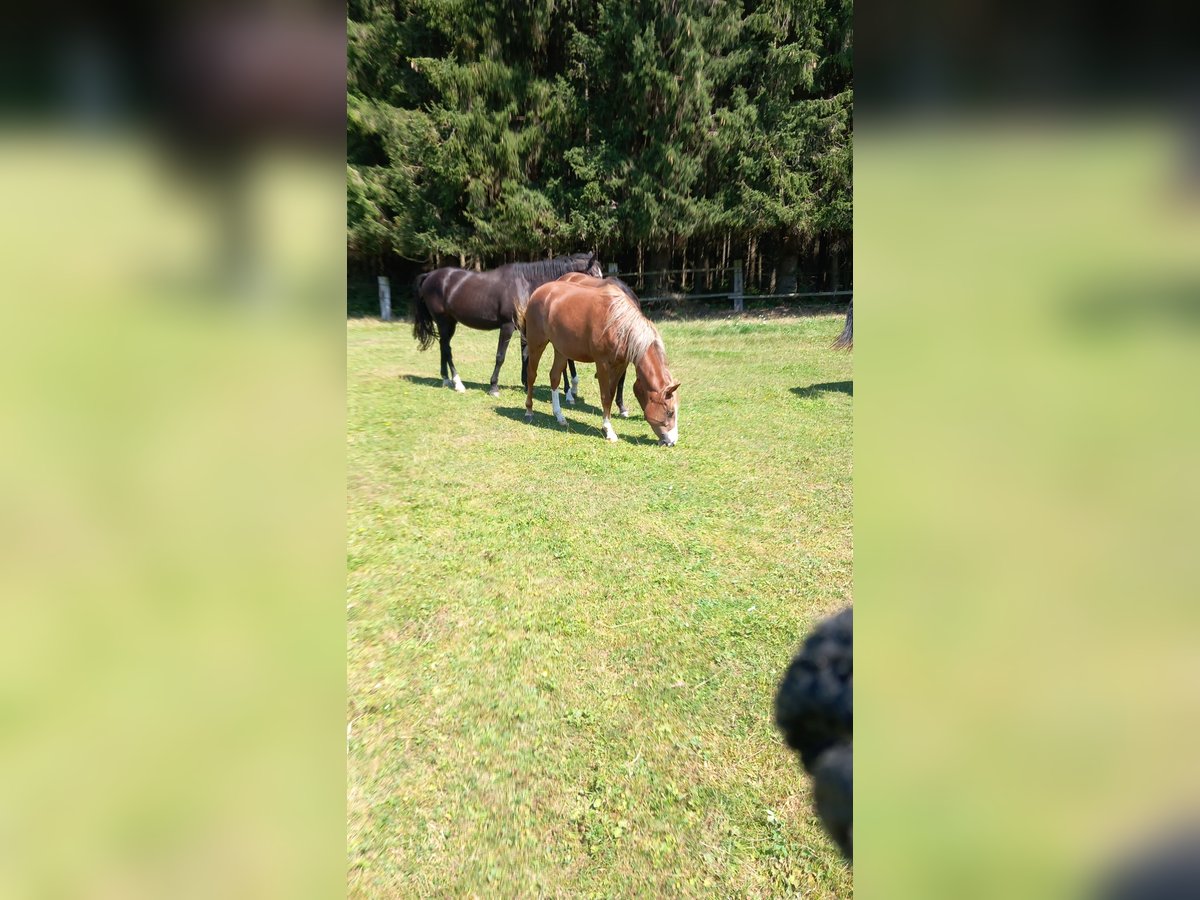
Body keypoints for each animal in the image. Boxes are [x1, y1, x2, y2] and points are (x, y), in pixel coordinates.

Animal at [412, 252, 604, 396]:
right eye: (594, 275)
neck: (525, 283)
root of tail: (430, 275)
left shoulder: (525, 327)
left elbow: (525, 354)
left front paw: (526, 384)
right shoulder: (507, 327)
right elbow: (500, 356)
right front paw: (494, 387)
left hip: (449, 322)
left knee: (443, 346)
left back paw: (445, 379)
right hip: (444, 321)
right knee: (447, 348)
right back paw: (458, 383)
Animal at [518, 274, 681, 444]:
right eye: (670, 412)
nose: (672, 441)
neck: (619, 324)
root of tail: (538, 292)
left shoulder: (620, 365)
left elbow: (612, 392)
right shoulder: (602, 364)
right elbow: (605, 397)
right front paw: (609, 430)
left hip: (561, 350)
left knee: (554, 377)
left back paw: (559, 416)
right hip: (536, 344)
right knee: (531, 375)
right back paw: (529, 410)